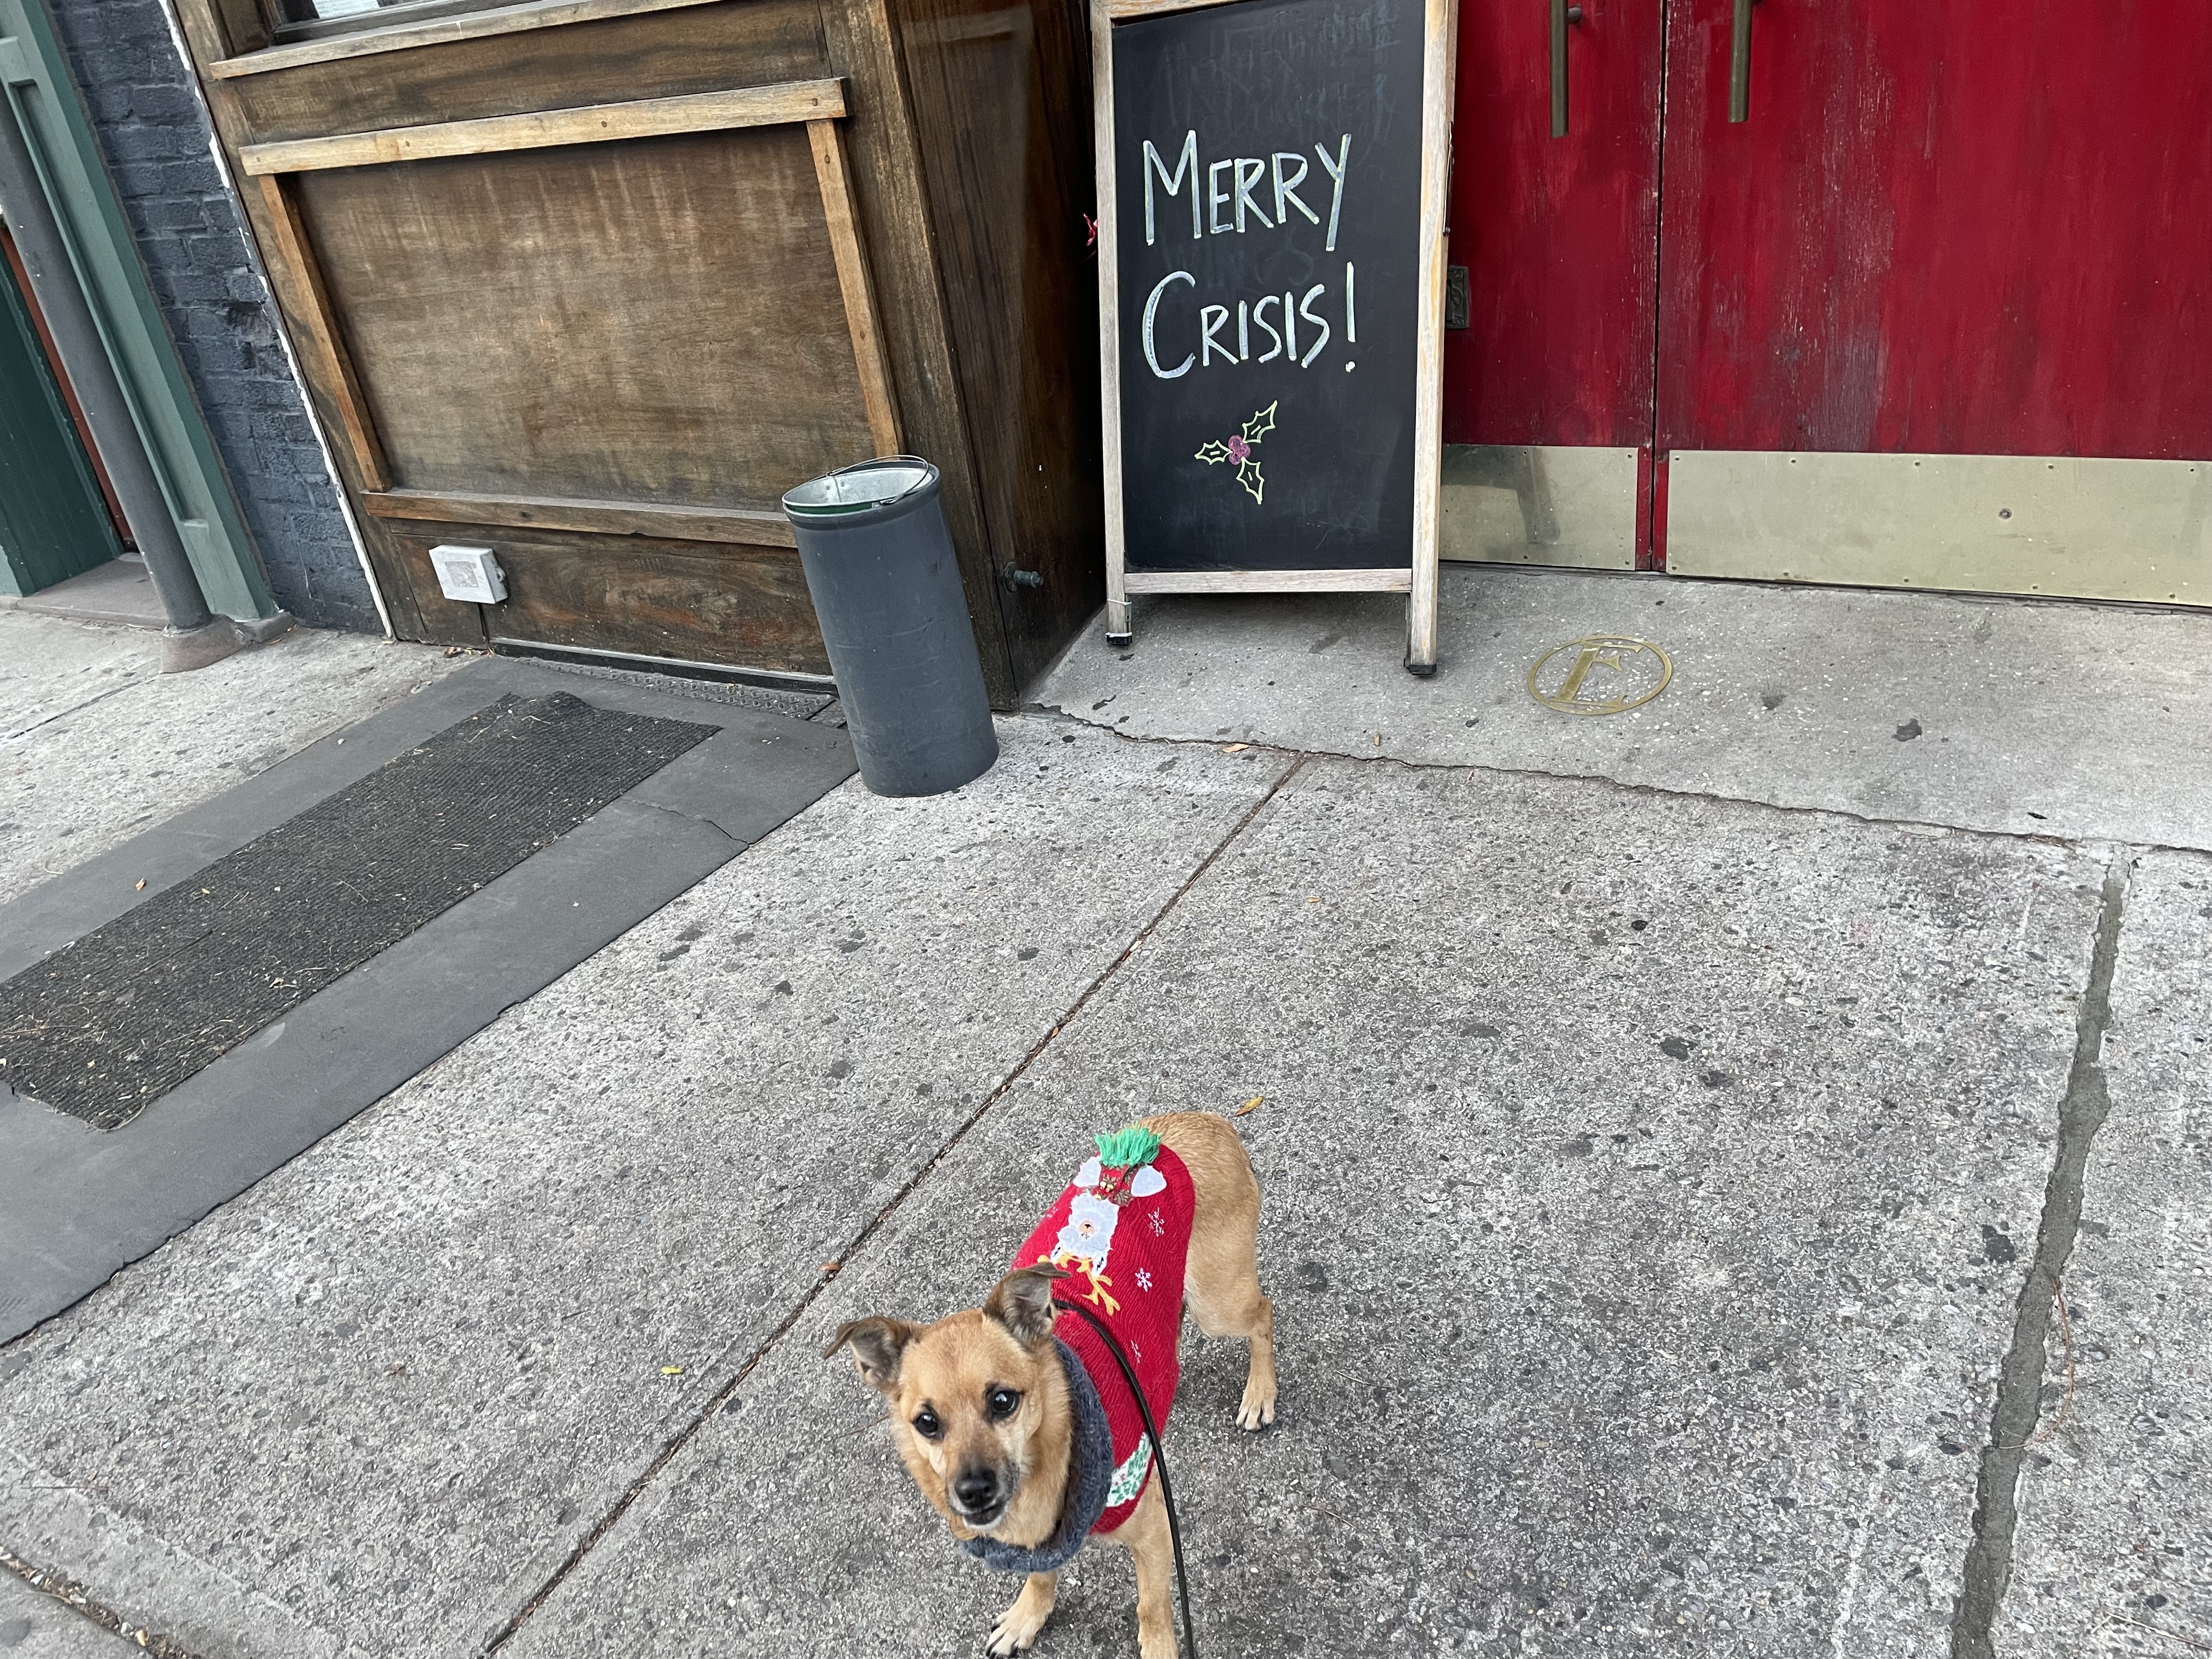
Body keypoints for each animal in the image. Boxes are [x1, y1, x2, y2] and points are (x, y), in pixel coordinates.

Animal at [827, 1119, 1283, 1659]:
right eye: (927, 1422)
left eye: (1003, 1401)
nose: (973, 1492)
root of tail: (1205, 1120)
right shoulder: (1039, 1548)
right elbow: (1043, 1576)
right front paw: (1029, 1614)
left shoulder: (1153, 1531)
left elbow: (1151, 1608)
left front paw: (1158, 1647)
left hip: (1219, 1303)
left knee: (1263, 1314)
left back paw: (1260, 1393)